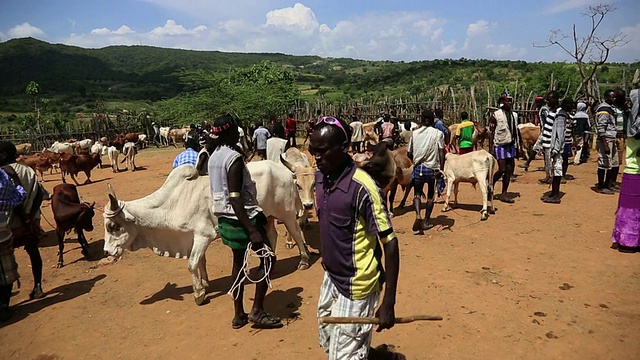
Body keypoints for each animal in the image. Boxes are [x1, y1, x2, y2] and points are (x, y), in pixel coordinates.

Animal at [104, 163, 312, 306]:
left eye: (113, 225)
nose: (106, 252)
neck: (172, 203)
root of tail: (286, 172)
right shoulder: (192, 238)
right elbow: (201, 261)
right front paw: (205, 283)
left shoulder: (203, 235)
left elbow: (192, 263)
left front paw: (198, 294)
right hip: (268, 216)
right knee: (273, 234)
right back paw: (268, 264)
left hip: (286, 213)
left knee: (295, 232)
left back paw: (303, 260)